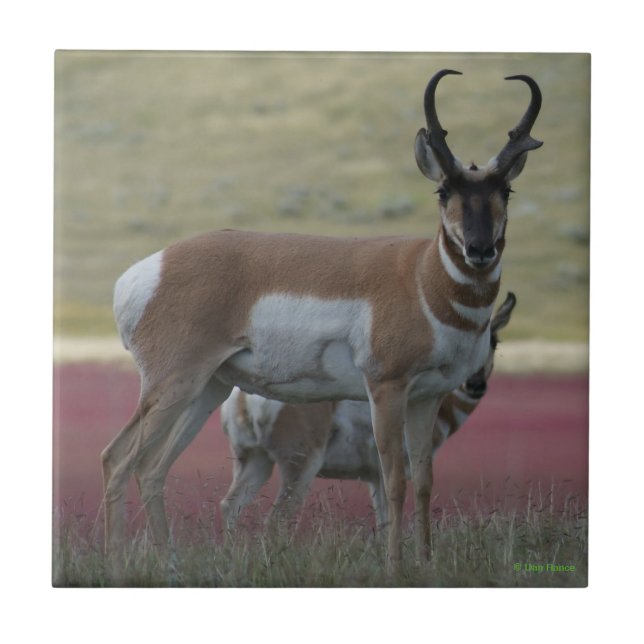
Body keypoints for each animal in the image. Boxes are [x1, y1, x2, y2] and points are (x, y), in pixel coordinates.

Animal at [220, 293, 516, 530]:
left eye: (495, 341)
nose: (475, 384)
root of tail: (244, 399)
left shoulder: (375, 478)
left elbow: (383, 525)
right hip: (300, 466)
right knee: (277, 519)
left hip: (256, 461)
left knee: (230, 506)